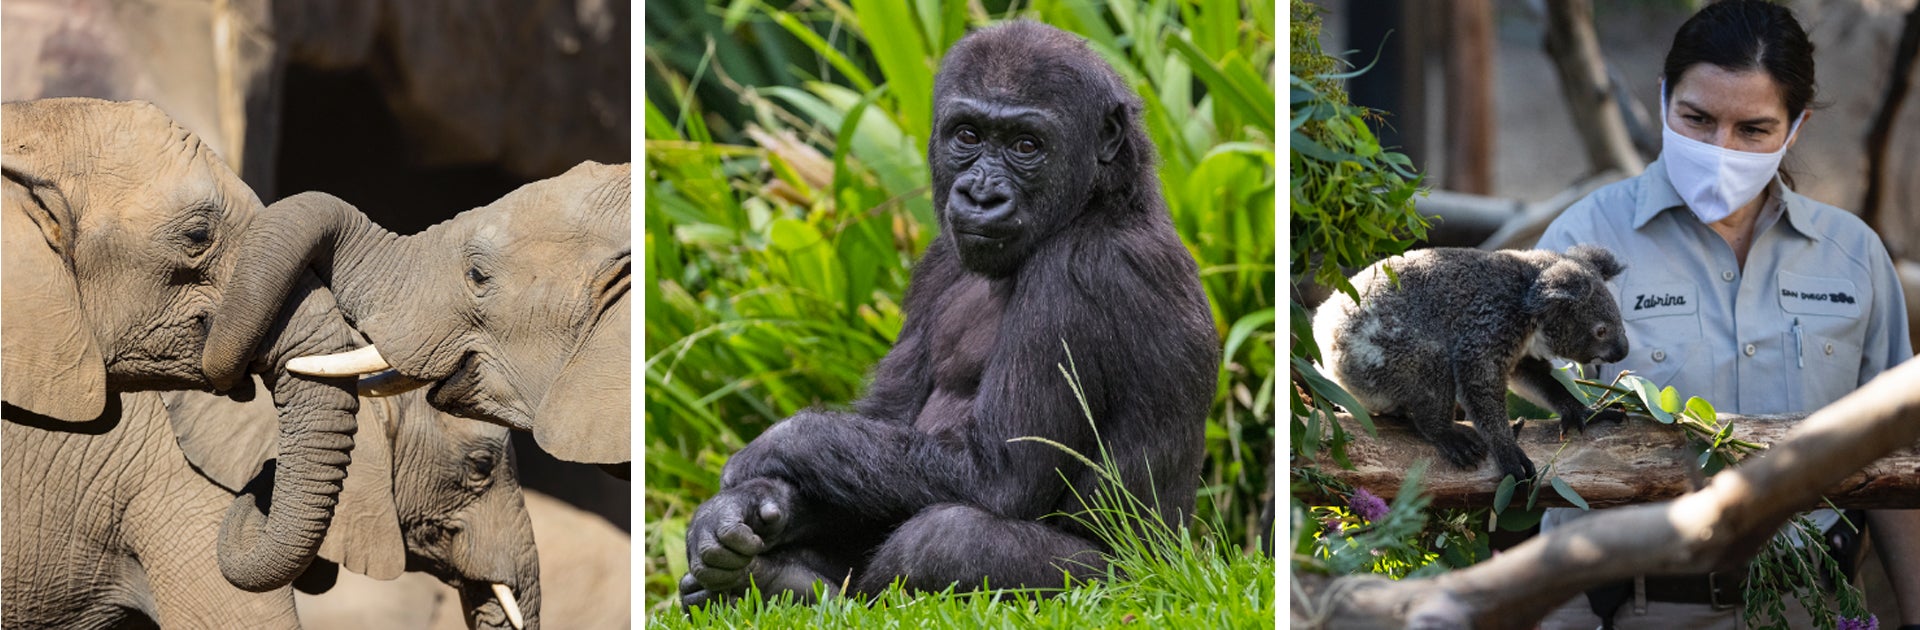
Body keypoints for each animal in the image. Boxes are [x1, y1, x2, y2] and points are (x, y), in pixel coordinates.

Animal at [1310, 245, 1630, 482]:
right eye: (1601, 330)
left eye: (1619, 320)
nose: (1622, 352)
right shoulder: (1490, 321)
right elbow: (1479, 379)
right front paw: (1509, 453)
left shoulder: (1521, 352)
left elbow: (1537, 379)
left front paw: (1582, 412)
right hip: (1380, 357)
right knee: (1432, 371)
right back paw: (1451, 436)